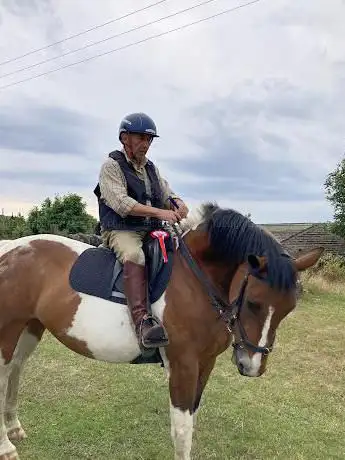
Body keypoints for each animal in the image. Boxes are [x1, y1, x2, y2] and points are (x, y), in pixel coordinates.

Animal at [0, 203, 322, 458]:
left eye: (289, 308)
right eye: (254, 303)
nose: (252, 365)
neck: (194, 279)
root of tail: (9, 249)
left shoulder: (206, 363)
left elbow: (192, 418)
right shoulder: (183, 365)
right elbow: (182, 430)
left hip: (31, 327)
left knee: (16, 369)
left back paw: (15, 428)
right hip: (8, 330)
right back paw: (7, 447)